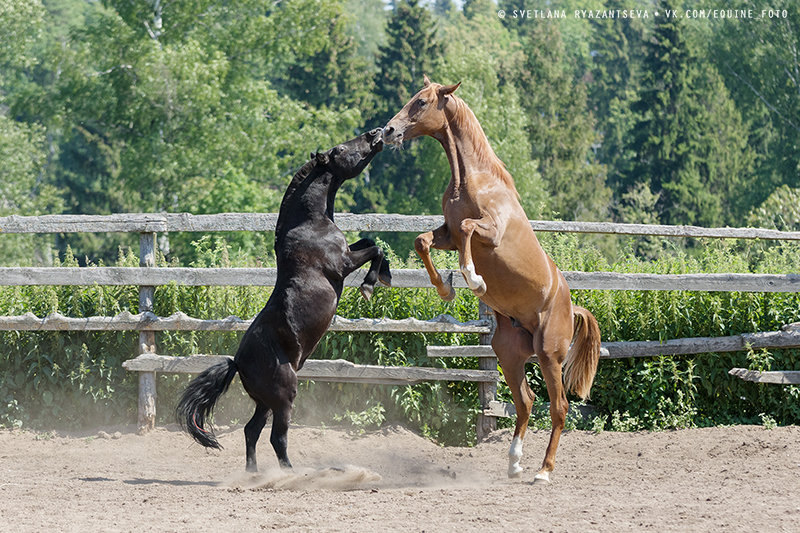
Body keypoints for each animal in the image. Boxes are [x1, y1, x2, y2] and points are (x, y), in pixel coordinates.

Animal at [177, 129, 390, 470]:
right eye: (341, 149)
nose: (376, 133)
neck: (309, 224)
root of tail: (238, 362)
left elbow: (371, 241)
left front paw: (387, 275)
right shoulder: (343, 264)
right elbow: (375, 248)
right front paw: (370, 285)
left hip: (266, 402)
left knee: (251, 430)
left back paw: (254, 473)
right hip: (285, 397)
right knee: (277, 438)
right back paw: (292, 474)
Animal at [382, 78, 600, 482]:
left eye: (422, 102)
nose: (388, 131)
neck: (474, 180)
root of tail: (571, 306)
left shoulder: (489, 232)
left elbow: (470, 228)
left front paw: (474, 280)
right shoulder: (448, 234)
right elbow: (422, 240)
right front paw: (445, 288)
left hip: (549, 355)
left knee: (559, 408)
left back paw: (543, 471)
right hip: (509, 354)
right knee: (526, 401)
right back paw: (514, 462)